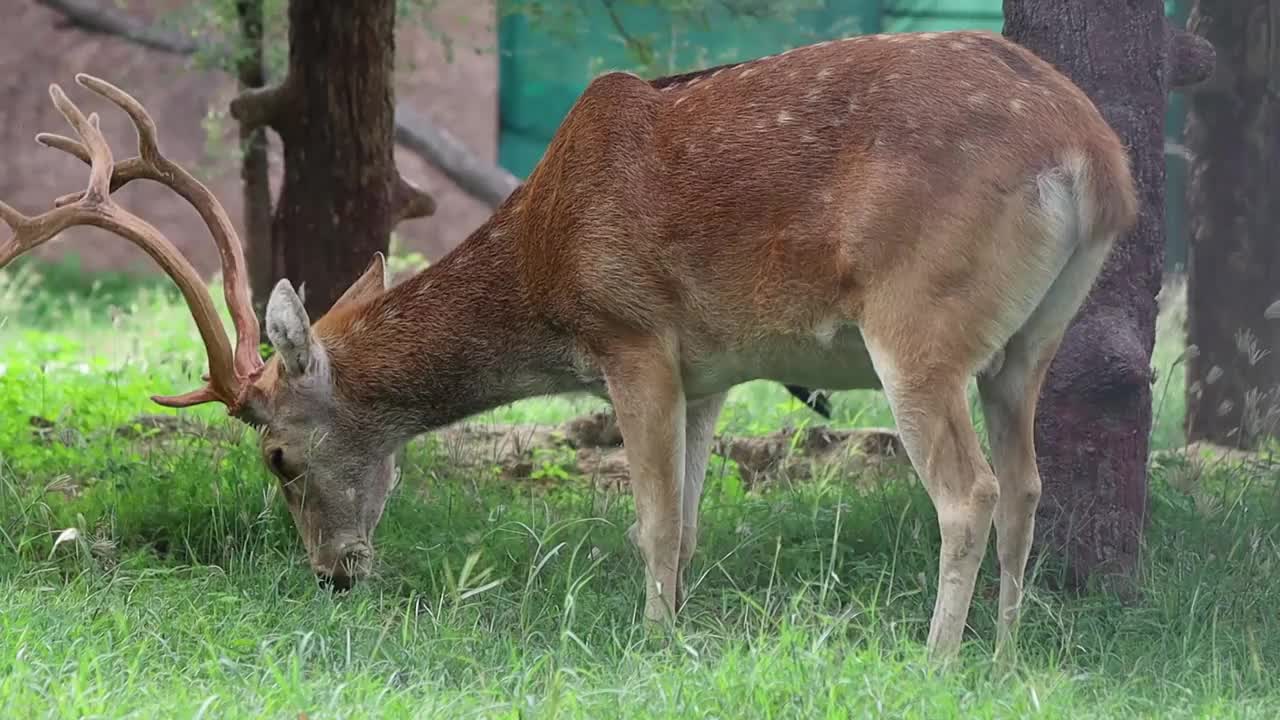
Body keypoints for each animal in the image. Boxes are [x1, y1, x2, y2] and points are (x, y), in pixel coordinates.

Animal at [2, 28, 1141, 661]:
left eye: (277, 457)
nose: (332, 576)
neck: (545, 267)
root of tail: (1096, 157)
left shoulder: (631, 332)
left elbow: (653, 524)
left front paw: (649, 645)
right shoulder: (709, 369)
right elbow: (690, 518)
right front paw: (678, 634)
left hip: (918, 318)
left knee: (971, 491)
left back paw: (937, 663)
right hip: (1029, 339)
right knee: (1028, 484)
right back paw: (1003, 657)